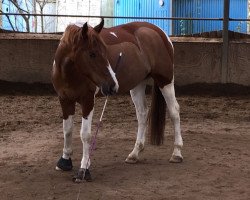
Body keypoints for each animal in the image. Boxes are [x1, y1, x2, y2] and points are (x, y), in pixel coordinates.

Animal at [51, 19, 184, 183]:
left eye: (105, 51)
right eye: (92, 53)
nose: (112, 85)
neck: (70, 73)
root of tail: (160, 32)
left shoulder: (87, 101)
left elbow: (85, 135)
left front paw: (84, 169)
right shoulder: (65, 100)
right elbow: (67, 130)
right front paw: (64, 161)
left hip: (165, 80)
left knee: (174, 111)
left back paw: (177, 153)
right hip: (137, 84)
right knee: (142, 114)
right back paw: (134, 154)